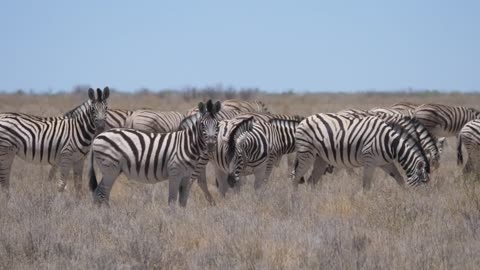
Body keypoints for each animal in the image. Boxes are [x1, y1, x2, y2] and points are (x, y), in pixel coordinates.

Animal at [89, 99, 222, 207]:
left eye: (218, 124)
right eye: (202, 125)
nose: (211, 145)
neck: (186, 144)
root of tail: (98, 137)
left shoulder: (186, 175)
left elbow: (183, 201)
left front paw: (182, 218)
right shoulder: (174, 173)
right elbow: (172, 201)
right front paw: (173, 220)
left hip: (109, 170)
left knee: (98, 193)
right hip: (110, 169)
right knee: (102, 193)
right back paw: (107, 215)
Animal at [292, 114, 432, 190]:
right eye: (424, 182)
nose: (422, 201)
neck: (390, 142)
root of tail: (303, 120)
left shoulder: (385, 163)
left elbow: (399, 179)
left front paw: (404, 197)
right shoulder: (370, 160)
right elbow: (366, 185)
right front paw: (366, 203)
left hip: (320, 158)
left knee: (311, 181)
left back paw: (313, 200)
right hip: (306, 153)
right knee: (297, 177)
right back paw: (296, 200)